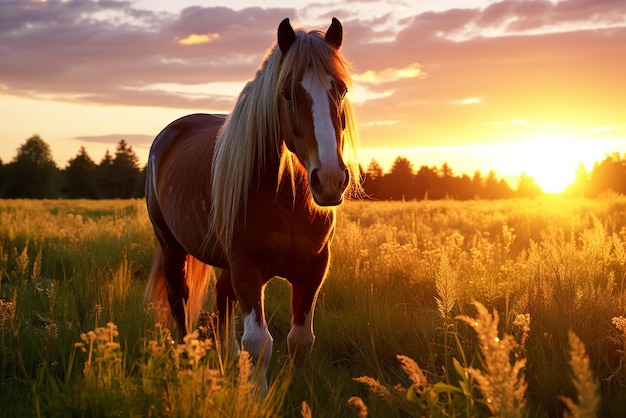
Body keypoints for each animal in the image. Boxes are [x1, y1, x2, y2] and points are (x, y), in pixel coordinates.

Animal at [144, 17, 358, 396]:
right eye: (286, 93)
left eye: (342, 90)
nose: (331, 179)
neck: (287, 201)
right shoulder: (247, 267)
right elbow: (259, 342)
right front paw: (257, 395)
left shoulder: (314, 267)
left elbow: (300, 339)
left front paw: (293, 390)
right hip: (171, 248)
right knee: (179, 302)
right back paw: (188, 363)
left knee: (221, 299)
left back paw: (228, 361)